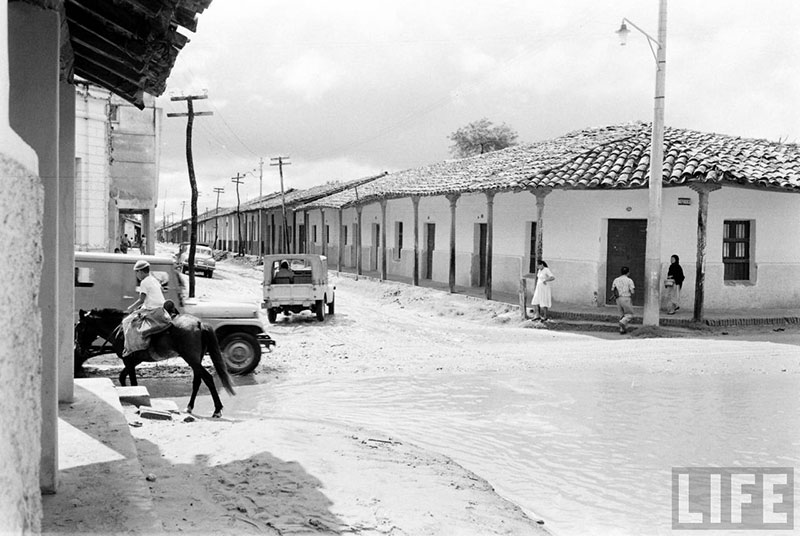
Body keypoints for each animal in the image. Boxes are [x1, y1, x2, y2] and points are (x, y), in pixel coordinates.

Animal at [75, 306, 236, 418]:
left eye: (79, 327)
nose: (78, 349)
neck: (119, 329)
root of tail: (199, 323)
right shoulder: (134, 361)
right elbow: (122, 377)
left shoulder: (129, 361)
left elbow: (133, 382)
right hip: (196, 359)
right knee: (197, 381)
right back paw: (190, 407)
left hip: (191, 359)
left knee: (207, 378)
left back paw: (217, 410)